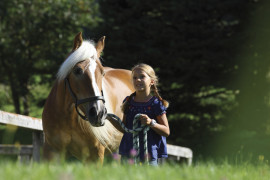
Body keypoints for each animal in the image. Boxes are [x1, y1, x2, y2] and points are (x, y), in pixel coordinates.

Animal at [42, 32, 134, 163]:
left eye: (102, 73)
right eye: (77, 70)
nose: (98, 113)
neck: (68, 118)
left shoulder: (94, 156)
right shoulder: (51, 152)